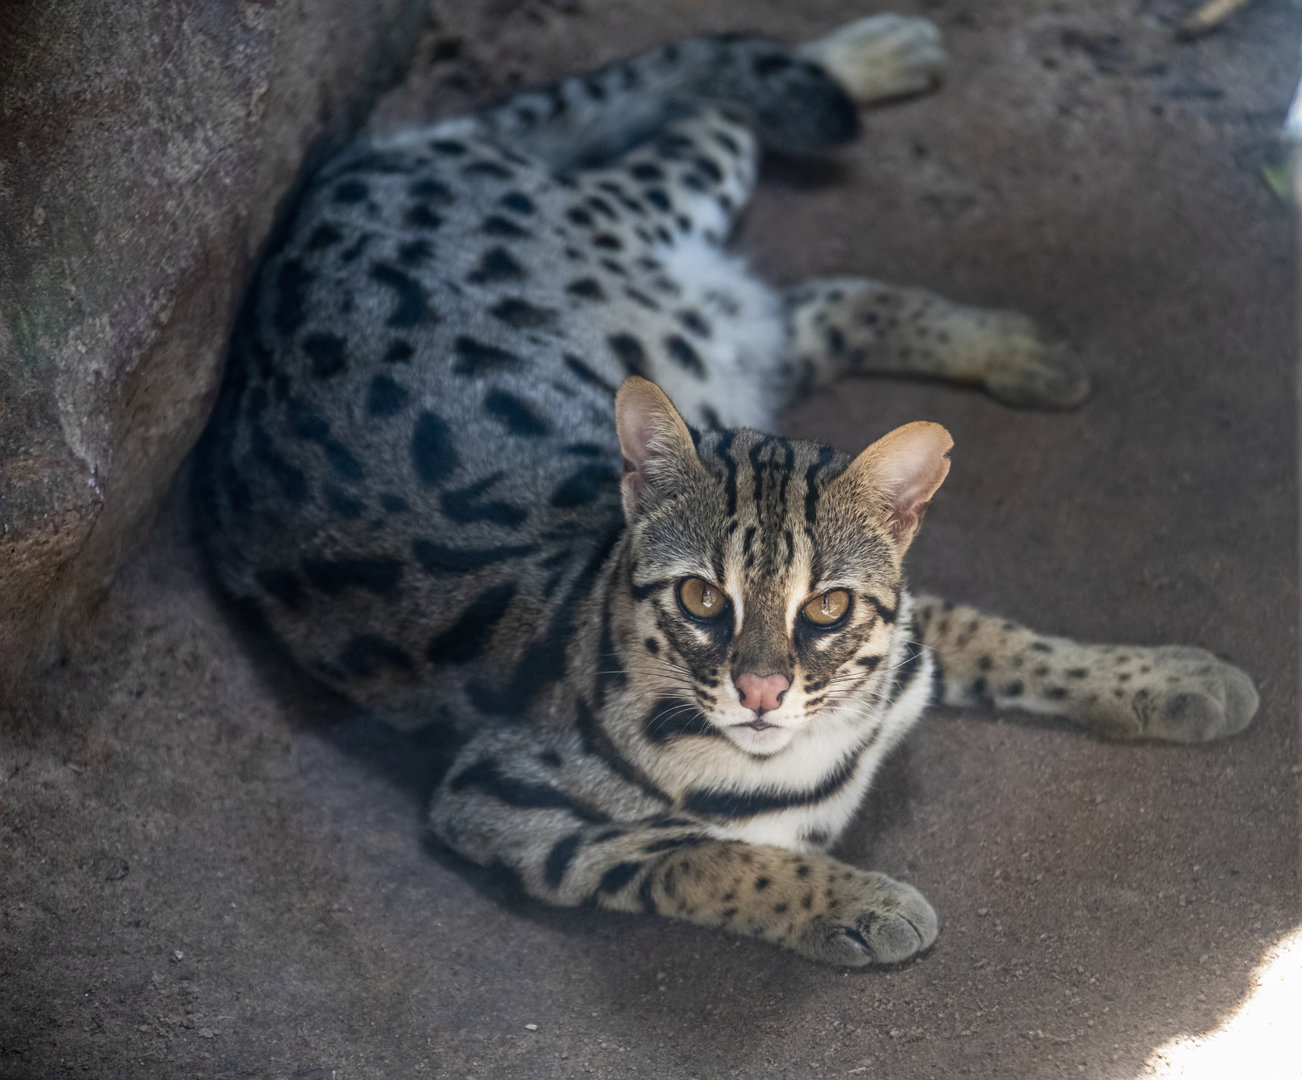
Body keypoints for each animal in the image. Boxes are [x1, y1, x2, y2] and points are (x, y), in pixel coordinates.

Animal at [193, 14, 1258, 966]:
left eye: (826, 608)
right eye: (703, 597)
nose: (760, 688)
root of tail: (346, 176)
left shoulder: (909, 627)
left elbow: (1000, 636)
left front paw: (1165, 678)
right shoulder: (505, 807)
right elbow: (701, 859)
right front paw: (857, 904)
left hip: (705, 308)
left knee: (753, 172)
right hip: (670, 276)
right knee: (732, 153)